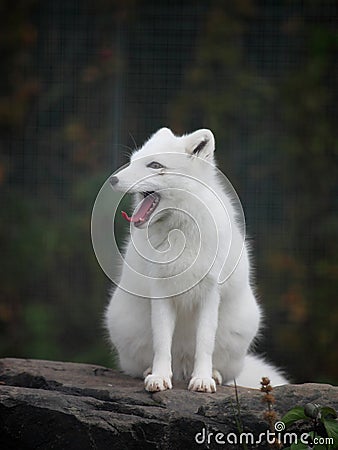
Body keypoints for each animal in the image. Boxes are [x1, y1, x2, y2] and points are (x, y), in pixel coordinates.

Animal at [105, 128, 286, 392]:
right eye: (132, 161)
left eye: (155, 165)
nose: (113, 180)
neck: (180, 234)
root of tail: (182, 367)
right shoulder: (161, 290)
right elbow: (162, 342)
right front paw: (159, 377)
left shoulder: (210, 293)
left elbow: (205, 342)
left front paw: (202, 379)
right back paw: (152, 371)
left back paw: (214, 375)